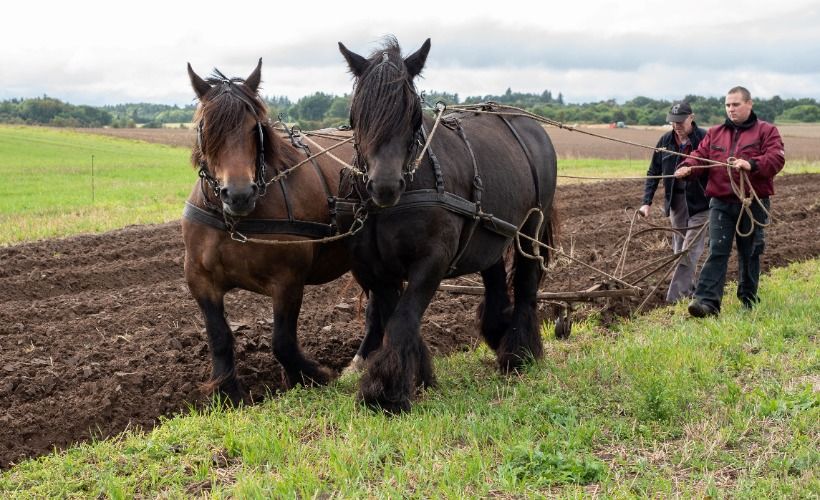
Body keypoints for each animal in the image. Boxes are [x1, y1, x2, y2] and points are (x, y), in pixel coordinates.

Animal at [184, 59, 354, 402]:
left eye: (255, 128)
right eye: (207, 128)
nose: (238, 194)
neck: (234, 222)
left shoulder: (288, 280)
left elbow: (282, 342)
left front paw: (313, 375)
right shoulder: (200, 279)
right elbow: (219, 336)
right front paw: (227, 392)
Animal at [338, 38, 556, 414]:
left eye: (413, 115)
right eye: (356, 115)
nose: (384, 186)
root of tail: (533, 127)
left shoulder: (432, 261)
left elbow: (403, 318)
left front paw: (384, 392)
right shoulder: (376, 268)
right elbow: (393, 315)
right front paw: (418, 375)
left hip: (531, 228)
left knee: (527, 283)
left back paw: (518, 353)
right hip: (490, 228)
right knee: (494, 274)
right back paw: (497, 329)